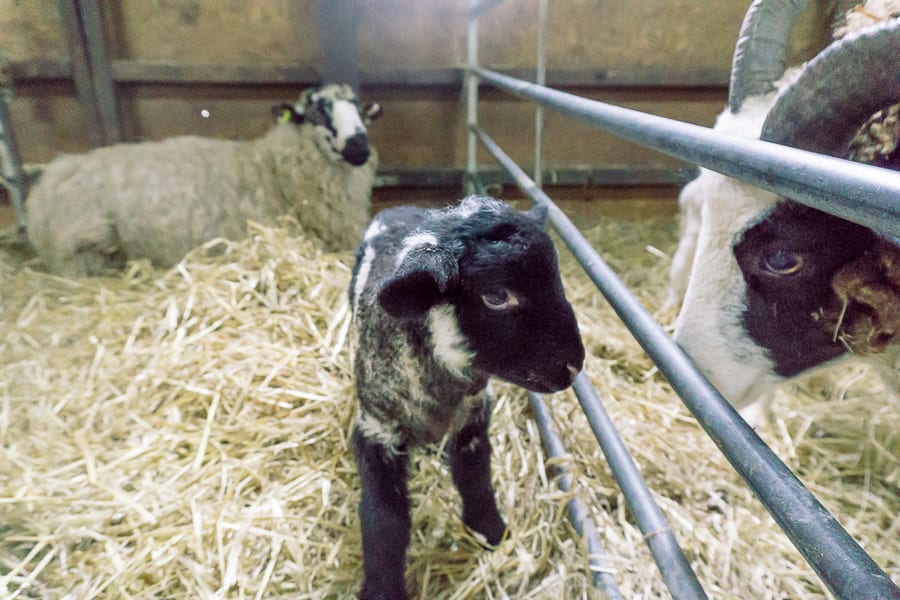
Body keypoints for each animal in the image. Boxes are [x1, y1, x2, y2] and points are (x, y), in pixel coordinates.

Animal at [23, 82, 384, 276]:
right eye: (318, 111)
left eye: (359, 109)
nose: (360, 147)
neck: (271, 171)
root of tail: (46, 183)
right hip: (85, 247)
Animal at [348, 197, 588, 600]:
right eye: (496, 296)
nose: (574, 364)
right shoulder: (376, 428)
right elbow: (383, 519)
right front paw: (382, 589)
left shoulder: (473, 418)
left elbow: (476, 479)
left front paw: (492, 531)